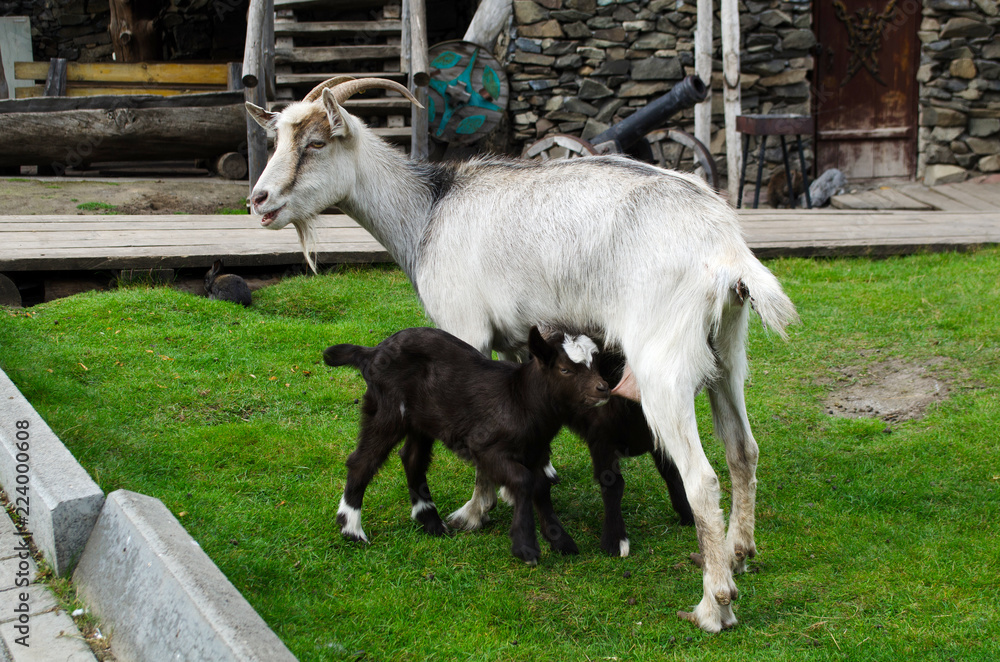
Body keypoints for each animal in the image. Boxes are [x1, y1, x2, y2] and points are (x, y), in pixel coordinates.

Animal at [323, 325, 609, 565]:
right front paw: (525, 547)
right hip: (388, 409)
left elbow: (540, 487)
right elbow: (523, 481)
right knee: (363, 461)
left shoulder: (535, 452)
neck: (520, 399)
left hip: (421, 420)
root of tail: (372, 352)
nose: (603, 388)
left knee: (412, 458)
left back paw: (431, 522)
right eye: (565, 369)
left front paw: (561, 541)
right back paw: (352, 529)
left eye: (596, 363)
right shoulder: (485, 448)